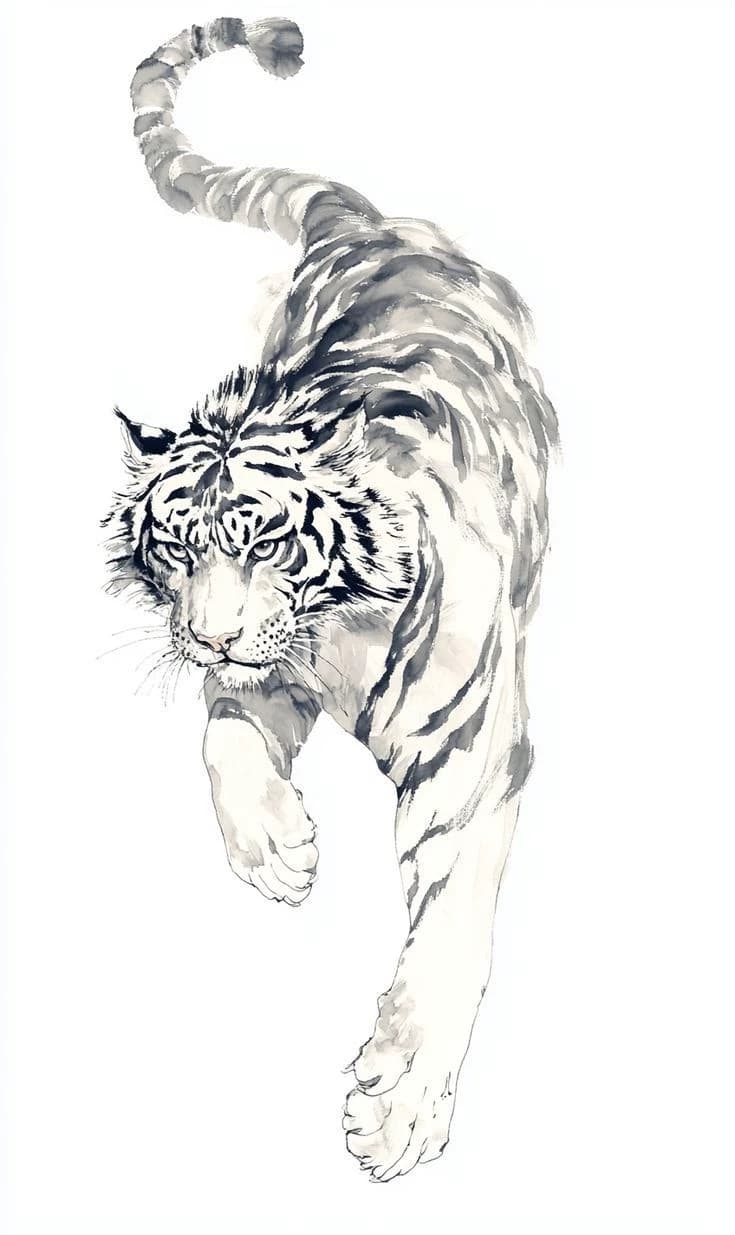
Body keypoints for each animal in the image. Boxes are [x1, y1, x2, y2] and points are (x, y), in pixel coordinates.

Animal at [105, 15, 558, 1182]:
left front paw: (397, 1110)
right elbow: (222, 739)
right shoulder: (261, 680)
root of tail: (361, 222)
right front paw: (276, 852)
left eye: (265, 539)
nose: (208, 636)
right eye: (175, 547)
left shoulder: (471, 759)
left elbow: (449, 933)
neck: (333, 640)